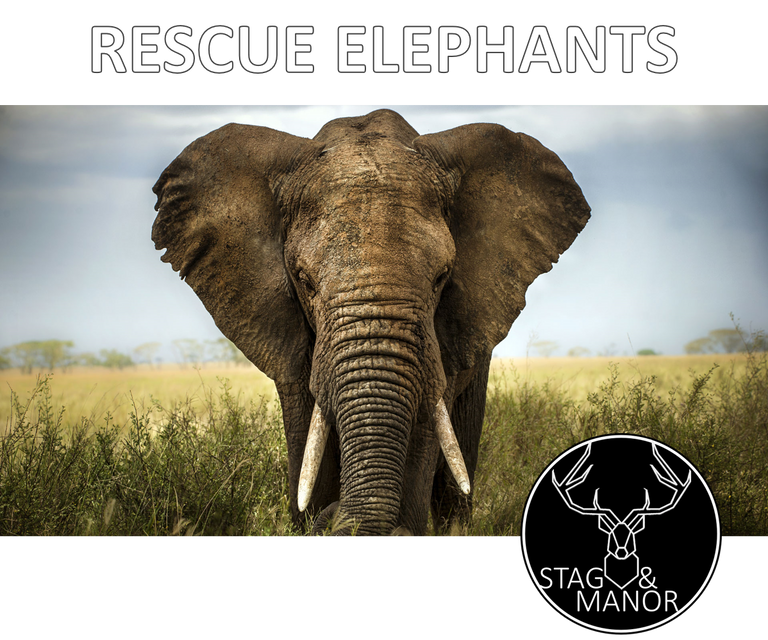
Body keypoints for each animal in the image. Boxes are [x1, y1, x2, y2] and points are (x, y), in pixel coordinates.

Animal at [152, 109, 590, 537]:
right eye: (304, 280)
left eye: (441, 277)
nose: (333, 517)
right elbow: (306, 432)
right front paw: (311, 515)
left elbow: (425, 428)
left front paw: (399, 527)